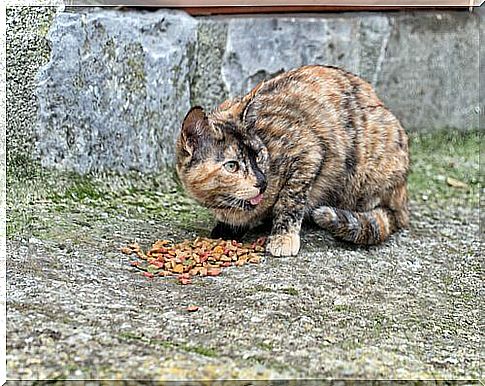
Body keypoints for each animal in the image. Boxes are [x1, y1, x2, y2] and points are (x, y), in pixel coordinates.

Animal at [174, 64, 408, 255]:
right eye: (232, 166)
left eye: (259, 155)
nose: (262, 182)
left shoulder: (307, 153)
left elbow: (289, 201)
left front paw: (283, 238)